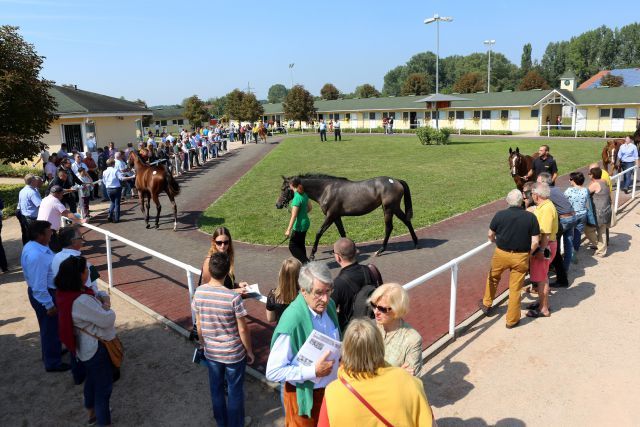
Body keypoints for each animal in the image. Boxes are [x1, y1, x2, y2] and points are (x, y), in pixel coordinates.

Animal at [276, 173, 420, 258]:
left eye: (283, 189)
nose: (277, 205)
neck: (326, 189)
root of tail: (396, 181)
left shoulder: (330, 216)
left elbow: (319, 232)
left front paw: (312, 254)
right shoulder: (336, 217)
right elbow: (342, 232)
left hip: (390, 208)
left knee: (389, 227)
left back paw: (381, 250)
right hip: (392, 208)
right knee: (407, 221)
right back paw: (416, 242)